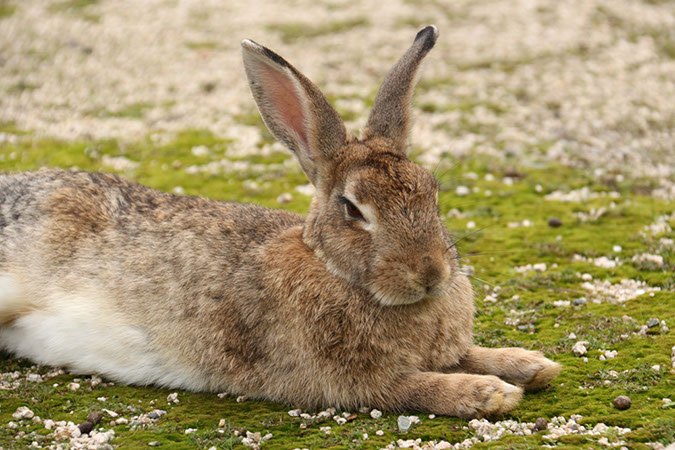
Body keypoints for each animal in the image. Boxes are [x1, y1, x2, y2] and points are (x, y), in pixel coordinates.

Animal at [0, 25, 560, 418]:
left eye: (432, 190)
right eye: (352, 209)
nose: (430, 273)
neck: (336, 272)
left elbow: (470, 353)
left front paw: (529, 364)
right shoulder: (350, 381)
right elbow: (418, 386)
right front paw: (489, 394)